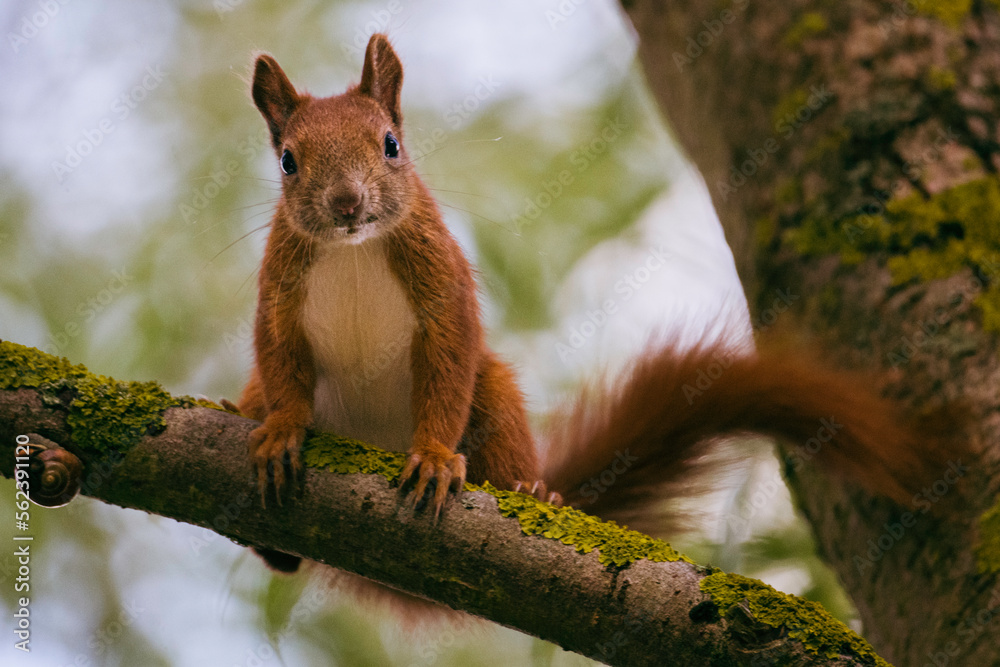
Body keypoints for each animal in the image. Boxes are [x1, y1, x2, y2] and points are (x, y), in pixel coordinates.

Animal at [235, 33, 963, 575]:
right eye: (289, 161)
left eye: (391, 144)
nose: (347, 204)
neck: (355, 250)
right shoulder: (278, 291)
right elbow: (278, 355)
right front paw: (281, 428)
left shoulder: (443, 285)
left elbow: (447, 359)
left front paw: (438, 457)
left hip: (495, 396)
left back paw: (530, 489)